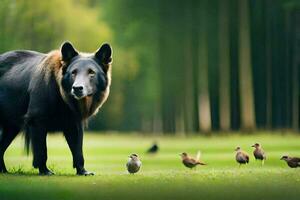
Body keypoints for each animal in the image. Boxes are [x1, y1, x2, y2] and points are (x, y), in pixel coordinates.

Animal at [0, 41, 112, 175]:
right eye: (73, 72)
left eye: (91, 72)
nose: (77, 88)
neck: (62, 98)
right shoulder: (36, 120)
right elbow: (42, 150)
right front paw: (44, 170)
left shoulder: (74, 122)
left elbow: (78, 149)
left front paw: (83, 171)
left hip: (12, 125)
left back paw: (3, 170)